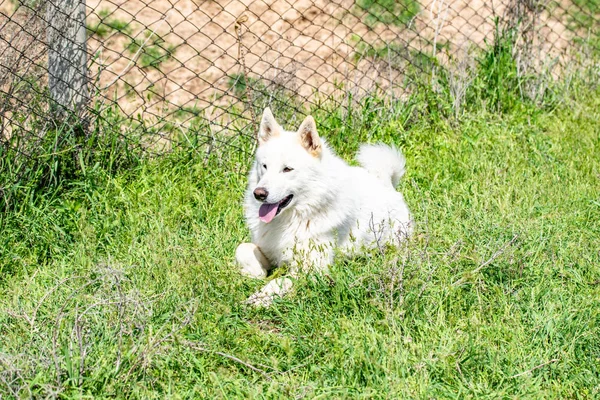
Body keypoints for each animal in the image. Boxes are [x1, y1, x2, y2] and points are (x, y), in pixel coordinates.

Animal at [237, 108, 410, 304]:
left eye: (287, 169)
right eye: (264, 166)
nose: (259, 194)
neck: (293, 218)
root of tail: (387, 185)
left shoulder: (312, 268)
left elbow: (279, 282)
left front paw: (258, 299)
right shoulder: (269, 250)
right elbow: (242, 249)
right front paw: (255, 273)